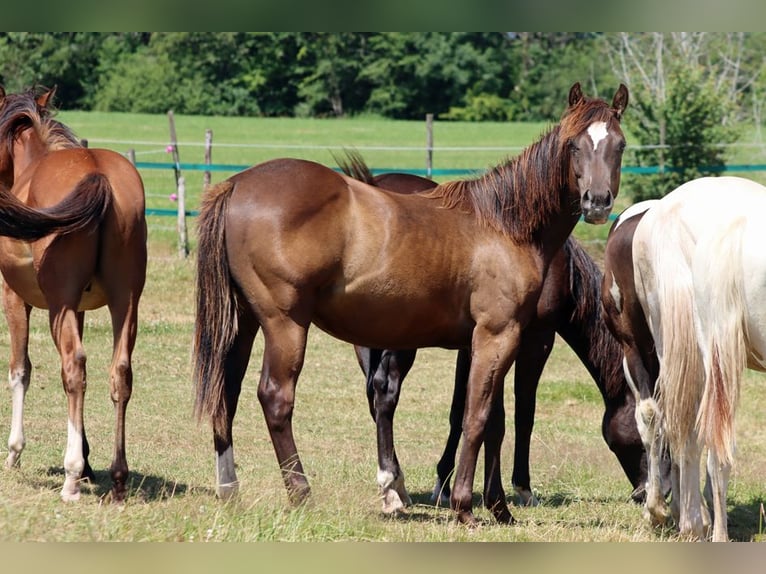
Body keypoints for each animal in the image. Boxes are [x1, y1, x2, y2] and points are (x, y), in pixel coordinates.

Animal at [0, 86, 147, 502]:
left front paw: (14, 452)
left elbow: (20, 371)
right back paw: (117, 476)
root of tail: (99, 176)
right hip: (125, 301)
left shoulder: (15, 300)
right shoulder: (80, 308)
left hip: (60, 307)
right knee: (120, 372)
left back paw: (70, 477)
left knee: (73, 366)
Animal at [336, 151, 652, 510]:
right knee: (385, 391)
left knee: (375, 397)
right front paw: (521, 488)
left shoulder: (474, 343)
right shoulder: (536, 339)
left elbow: (463, 409)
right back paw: (395, 487)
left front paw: (445, 483)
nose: (644, 492)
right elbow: (523, 411)